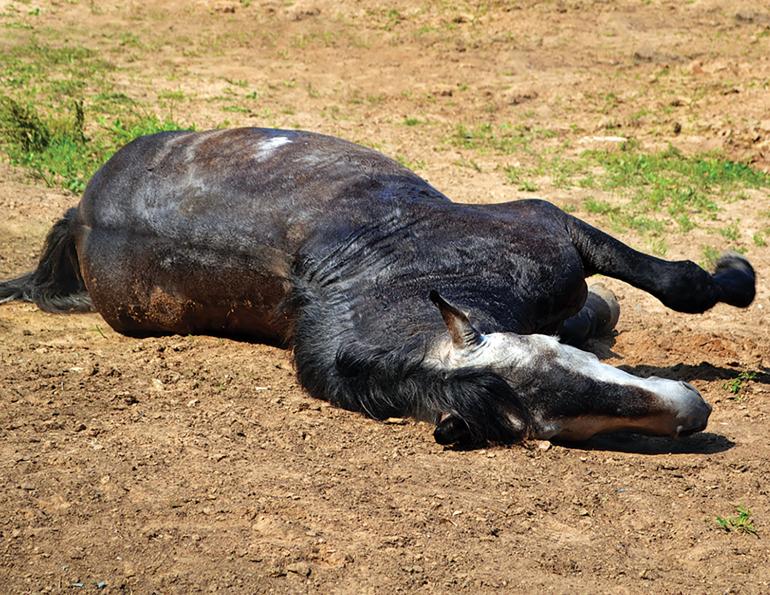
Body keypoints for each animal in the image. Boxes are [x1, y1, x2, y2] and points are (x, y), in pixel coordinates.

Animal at [0, 128, 756, 446]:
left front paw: (737, 279)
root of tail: (81, 215)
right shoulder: (549, 231)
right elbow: (673, 287)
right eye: (551, 426)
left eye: (549, 359)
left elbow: (679, 286)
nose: (695, 414)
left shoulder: (555, 230)